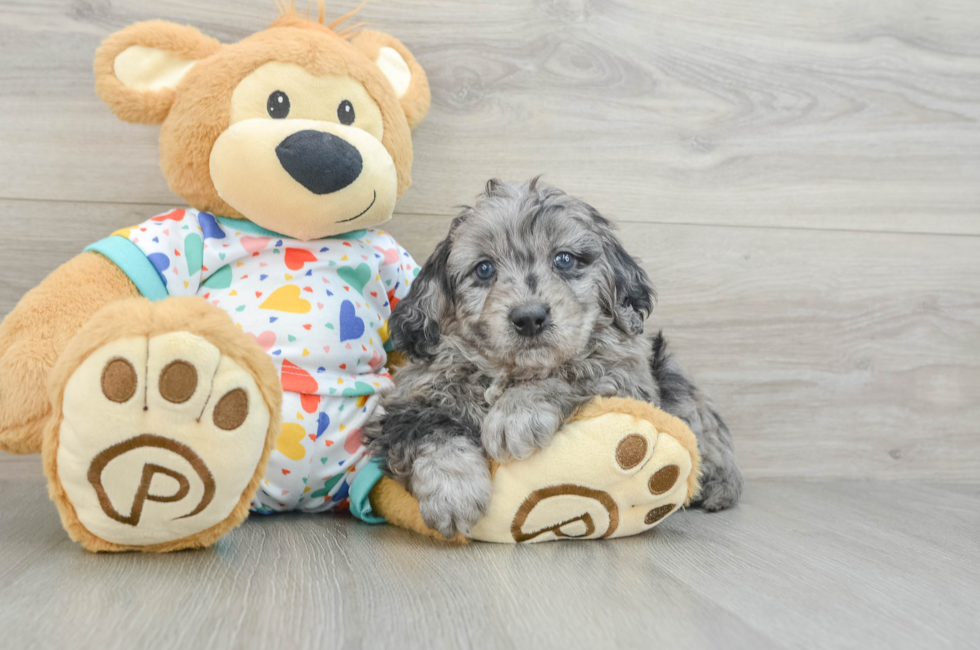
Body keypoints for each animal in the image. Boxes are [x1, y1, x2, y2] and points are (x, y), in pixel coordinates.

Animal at [368, 177, 744, 536]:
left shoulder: (625, 376)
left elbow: (569, 373)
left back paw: (718, 485)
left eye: (564, 259)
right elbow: (433, 432)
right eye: (484, 269)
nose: (529, 317)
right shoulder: (409, 400)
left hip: (671, 374)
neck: (507, 371)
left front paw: (515, 415)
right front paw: (453, 493)